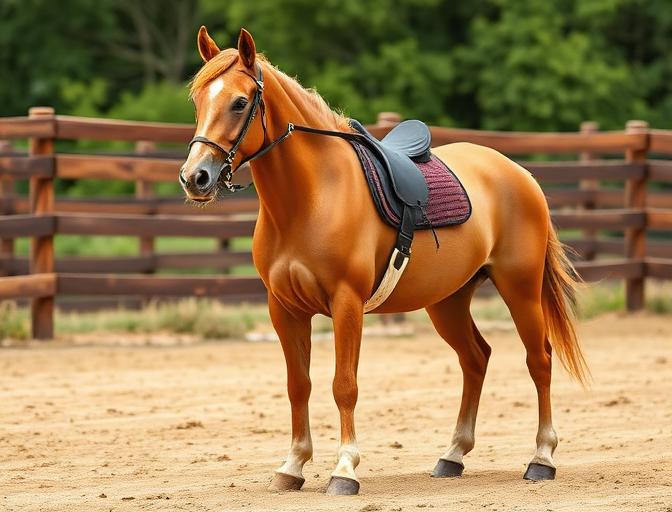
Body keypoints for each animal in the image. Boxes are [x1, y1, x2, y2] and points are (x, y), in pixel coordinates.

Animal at [180, 26, 589, 496]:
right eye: (198, 101)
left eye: (239, 102)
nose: (195, 178)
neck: (312, 198)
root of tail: (520, 174)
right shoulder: (283, 309)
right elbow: (298, 385)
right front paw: (293, 465)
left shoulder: (347, 303)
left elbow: (344, 386)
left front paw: (344, 469)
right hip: (448, 301)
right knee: (475, 358)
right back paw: (453, 455)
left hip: (519, 288)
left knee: (539, 359)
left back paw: (541, 458)